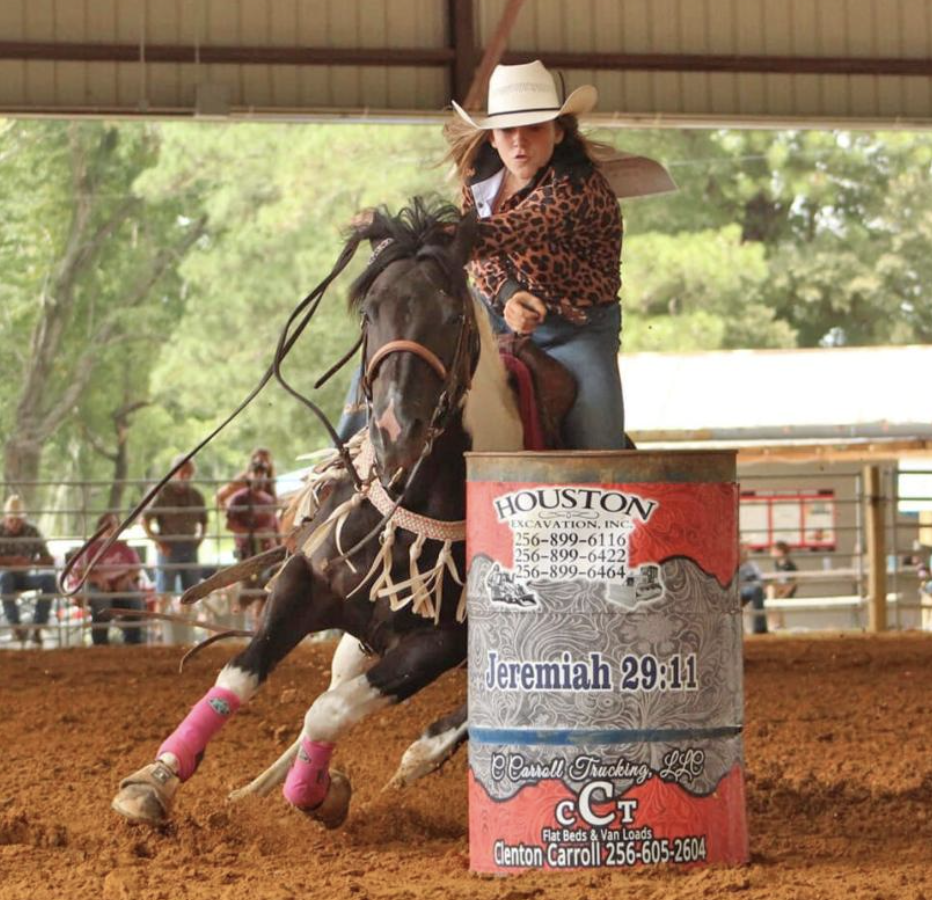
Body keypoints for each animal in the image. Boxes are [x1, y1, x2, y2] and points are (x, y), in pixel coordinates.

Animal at [109, 199, 524, 828]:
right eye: (370, 314)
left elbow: (328, 712)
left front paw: (320, 792)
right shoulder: (305, 580)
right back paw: (253, 787)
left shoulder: (441, 643)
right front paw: (157, 778)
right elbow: (240, 675)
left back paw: (420, 754)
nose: (395, 430)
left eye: (453, 315)